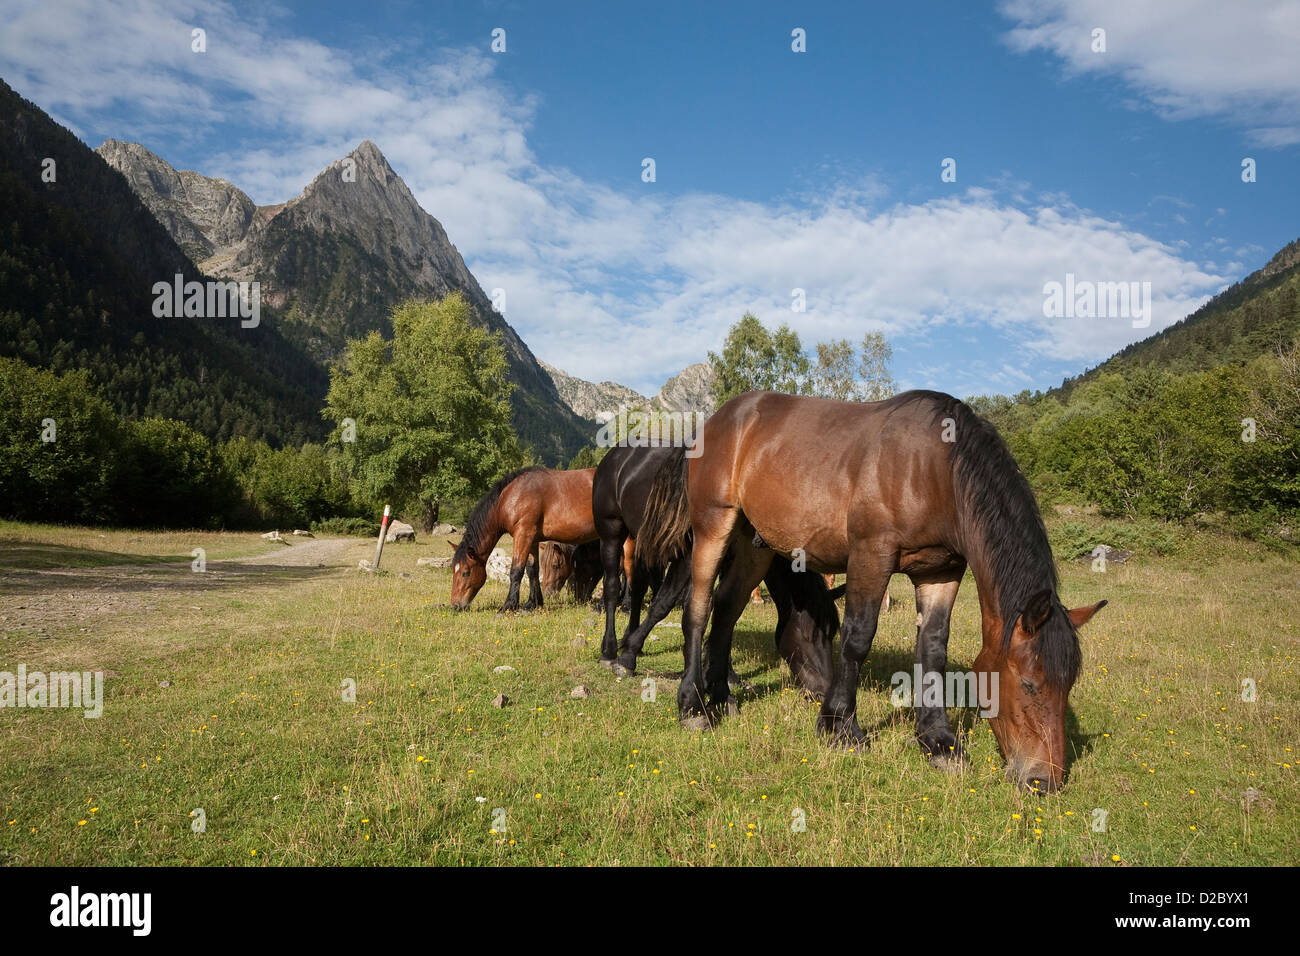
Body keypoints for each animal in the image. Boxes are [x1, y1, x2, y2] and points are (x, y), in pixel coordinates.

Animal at [449, 465, 595, 613]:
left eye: (465, 573)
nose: (455, 605)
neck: (510, 497)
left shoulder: (523, 534)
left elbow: (516, 570)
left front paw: (509, 606)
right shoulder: (532, 539)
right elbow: (532, 570)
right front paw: (533, 603)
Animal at [639, 390, 1107, 790]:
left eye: (1068, 685)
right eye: (1028, 683)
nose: (1044, 780)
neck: (936, 468)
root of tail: (716, 422)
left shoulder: (941, 572)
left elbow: (932, 649)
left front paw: (938, 740)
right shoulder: (870, 554)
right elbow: (858, 638)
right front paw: (840, 727)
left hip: (757, 546)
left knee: (727, 609)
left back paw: (721, 696)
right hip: (713, 527)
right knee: (698, 609)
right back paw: (693, 706)